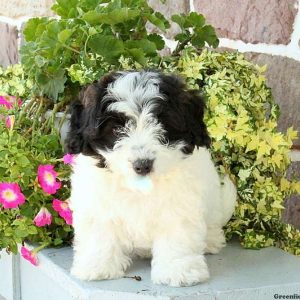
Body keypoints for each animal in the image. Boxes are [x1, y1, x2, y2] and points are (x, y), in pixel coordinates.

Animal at [65, 69, 237, 286]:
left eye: (161, 124)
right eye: (116, 129)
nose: (143, 164)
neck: (140, 188)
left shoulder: (180, 205)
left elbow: (177, 234)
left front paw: (177, 270)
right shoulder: (97, 201)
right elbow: (100, 231)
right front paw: (98, 266)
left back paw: (211, 241)